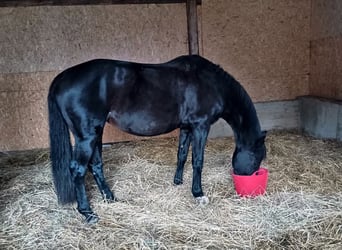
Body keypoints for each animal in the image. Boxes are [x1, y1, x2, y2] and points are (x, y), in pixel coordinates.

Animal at [48, 55, 268, 223]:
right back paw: (88, 213)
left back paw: (110, 198)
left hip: (95, 134)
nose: (248, 178)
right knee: (78, 169)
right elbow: (198, 160)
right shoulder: (200, 126)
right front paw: (198, 193)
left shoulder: (186, 127)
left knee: (96, 165)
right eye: (258, 156)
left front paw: (178, 182)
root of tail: (62, 78)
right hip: (87, 136)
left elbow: (182, 154)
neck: (211, 83)